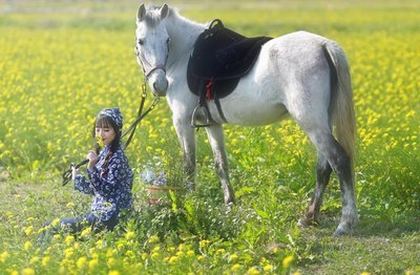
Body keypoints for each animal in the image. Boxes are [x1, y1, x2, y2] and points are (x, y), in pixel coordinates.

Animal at [135, 3, 358, 237]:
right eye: (141, 41)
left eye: (167, 40)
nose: (159, 85)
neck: (186, 54)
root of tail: (324, 46)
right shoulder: (212, 124)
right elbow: (220, 163)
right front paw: (229, 201)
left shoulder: (182, 122)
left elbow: (189, 165)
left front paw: (190, 200)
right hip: (322, 124)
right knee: (324, 167)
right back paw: (309, 217)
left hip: (312, 124)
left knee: (339, 160)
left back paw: (345, 223)